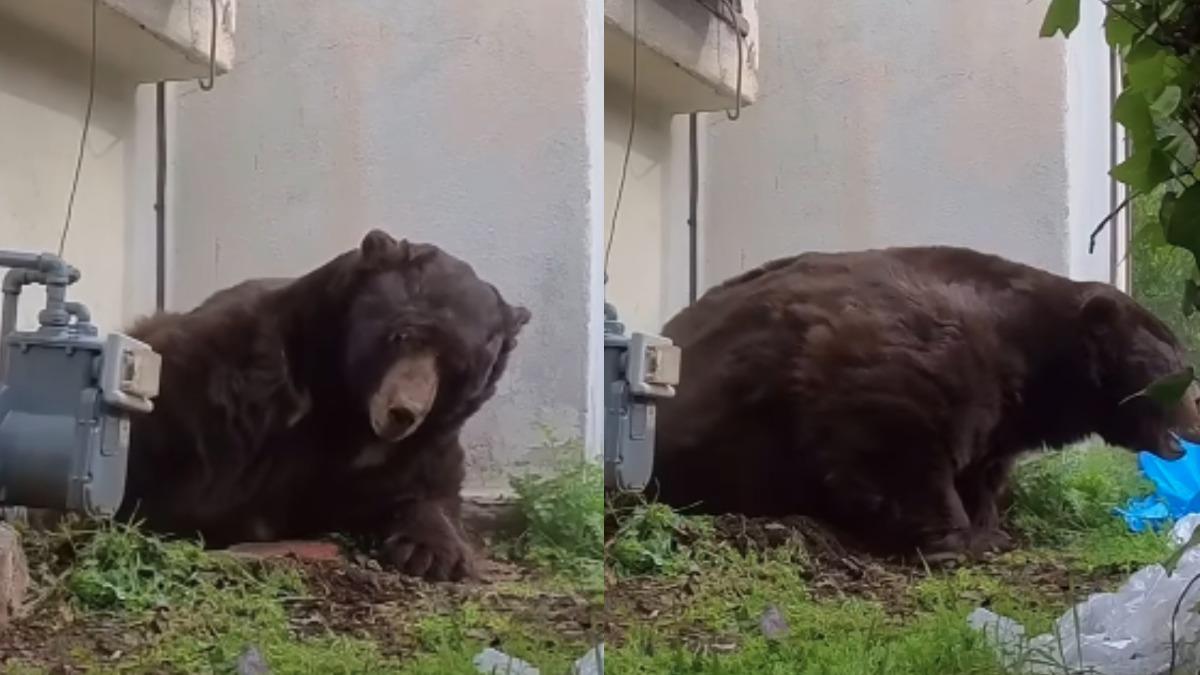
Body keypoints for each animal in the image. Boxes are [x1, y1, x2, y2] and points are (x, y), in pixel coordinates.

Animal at [118, 230, 530, 581]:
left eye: (459, 365)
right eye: (402, 334)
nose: (403, 411)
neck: (345, 406)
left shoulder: (416, 447)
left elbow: (426, 489)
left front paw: (430, 554)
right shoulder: (239, 376)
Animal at [651, 245, 1200, 560]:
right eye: (1180, 368)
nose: (1195, 425)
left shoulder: (1001, 414)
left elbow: (983, 468)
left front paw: (989, 525)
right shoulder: (913, 361)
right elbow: (898, 448)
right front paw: (955, 539)